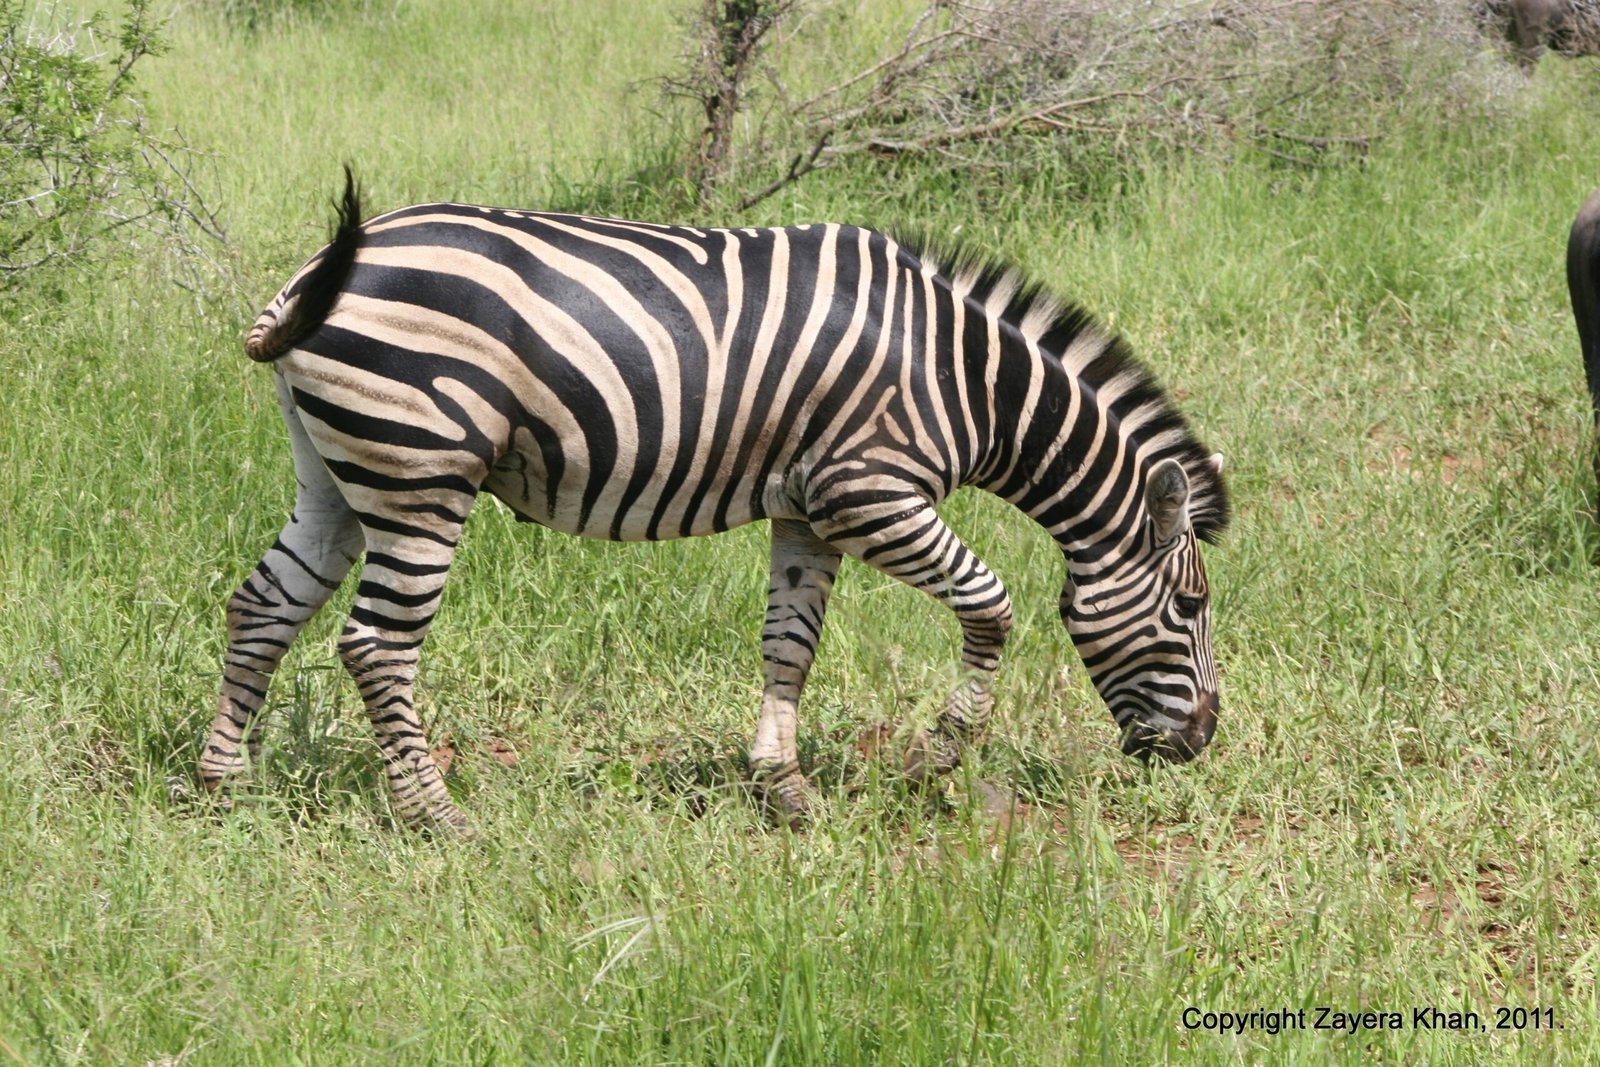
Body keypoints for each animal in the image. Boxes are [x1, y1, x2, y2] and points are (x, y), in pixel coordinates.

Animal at [201, 170, 1230, 831]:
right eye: (1192, 605)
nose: (1201, 742)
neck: (962, 377)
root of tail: (318, 271)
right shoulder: (867, 490)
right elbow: (992, 604)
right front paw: (940, 750)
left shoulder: (808, 510)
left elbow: (790, 646)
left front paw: (785, 791)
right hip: (421, 475)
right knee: (376, 644)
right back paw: (434, 814)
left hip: (338, 473)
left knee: (263, 606)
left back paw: (222, 783)